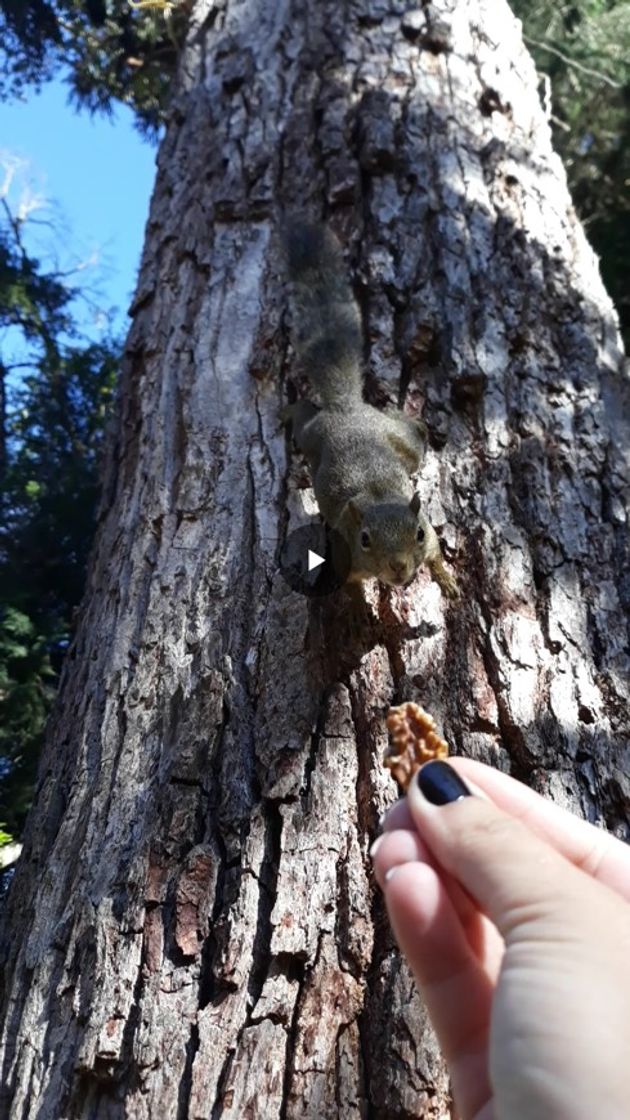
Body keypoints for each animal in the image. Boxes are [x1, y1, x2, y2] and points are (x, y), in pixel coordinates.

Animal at [283, 221, 455, 600]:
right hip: (312, 436)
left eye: (418, 533)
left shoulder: (429, 532)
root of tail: (346, 407)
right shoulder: (345, 554)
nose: (399, 568)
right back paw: (286, 411)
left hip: (399, 443)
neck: (379, 498)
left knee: (408, 432)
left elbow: (436, 553)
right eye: (364, 540)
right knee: (303, 416)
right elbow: (347, 589)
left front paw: (447, 580)